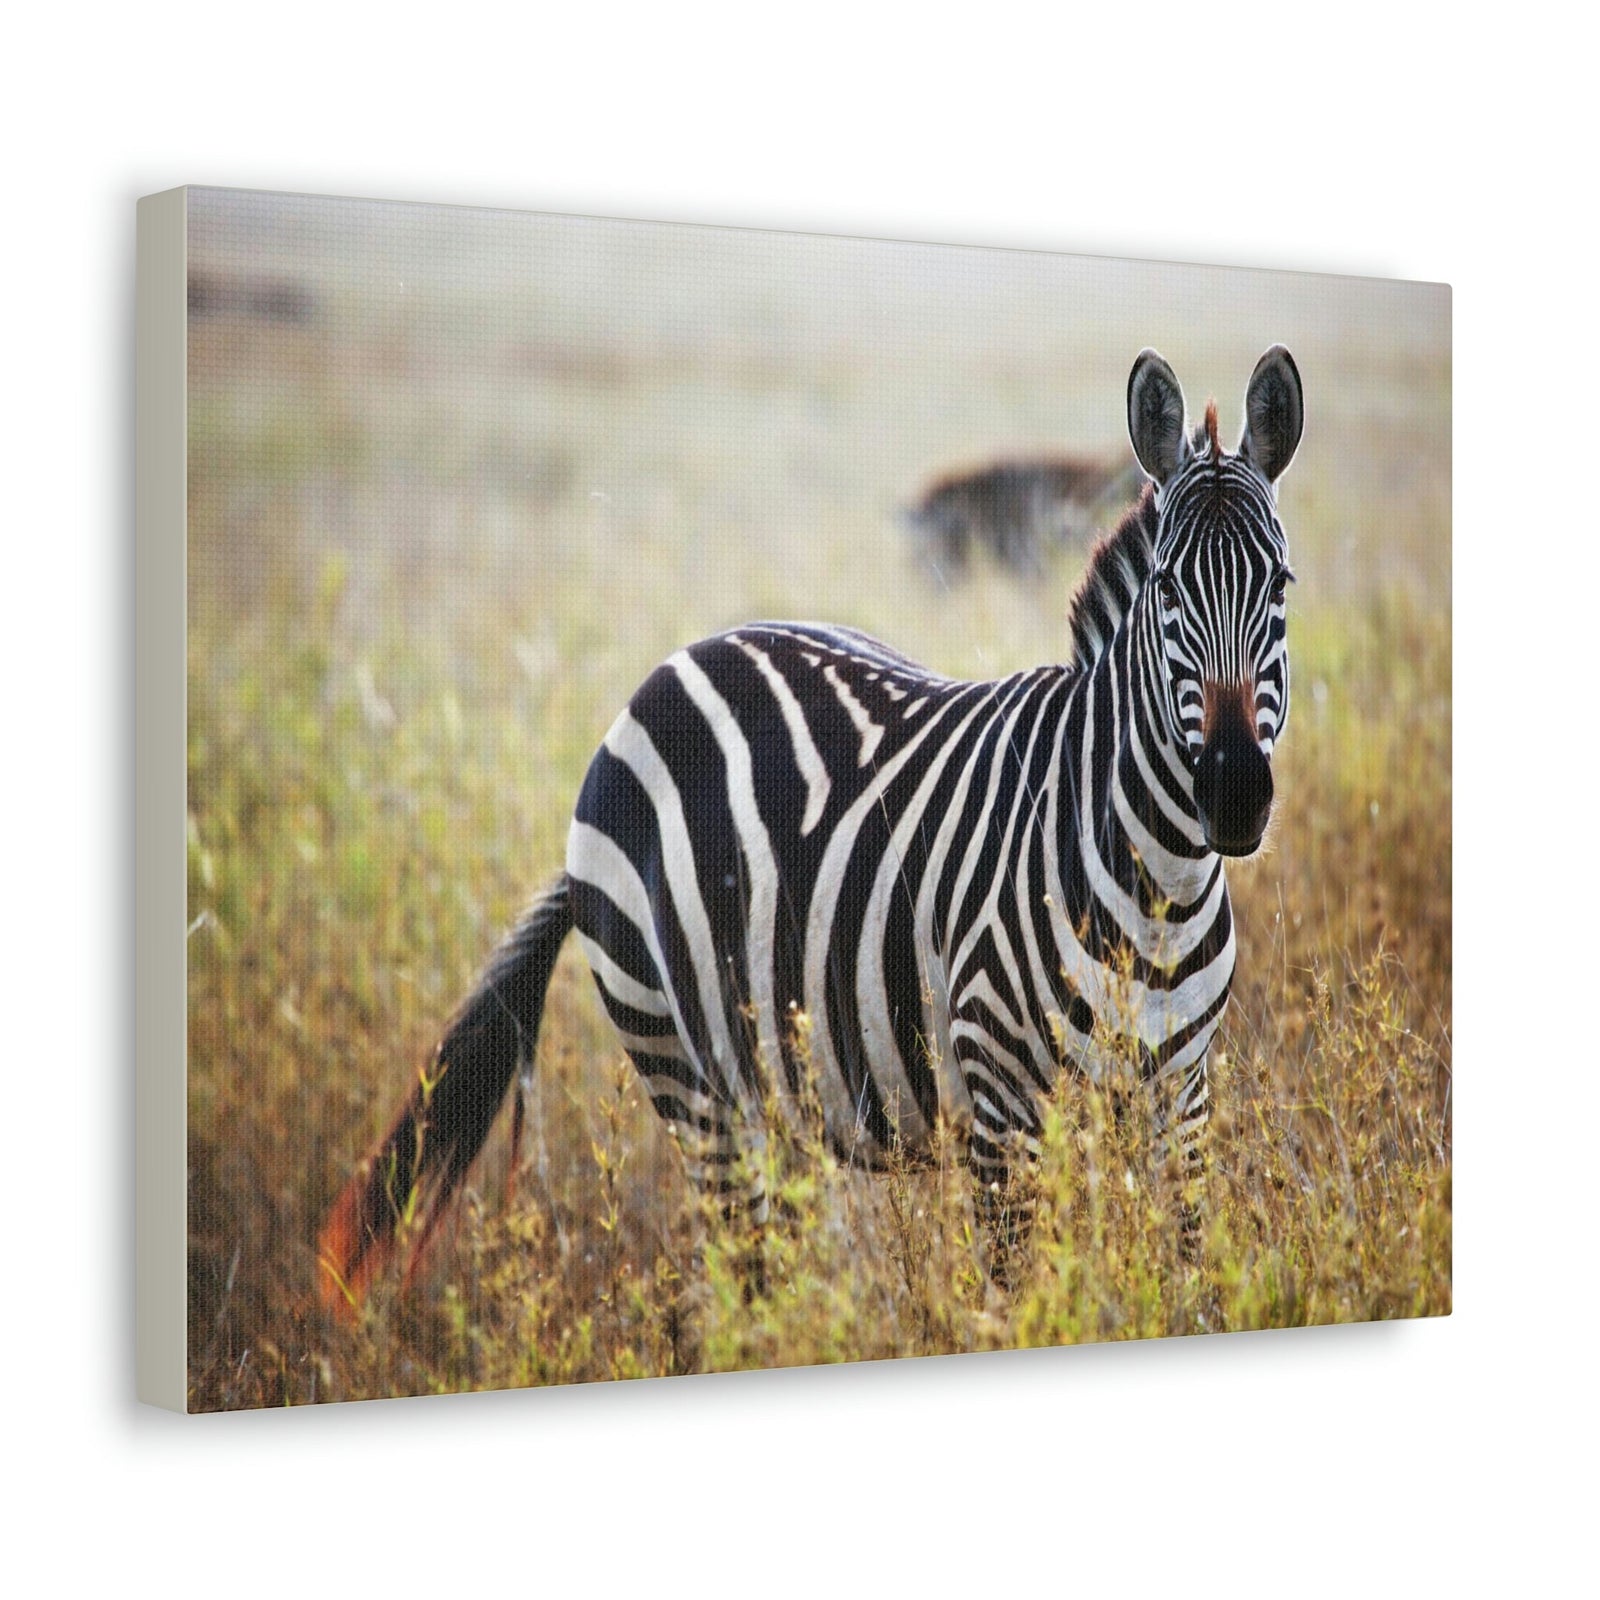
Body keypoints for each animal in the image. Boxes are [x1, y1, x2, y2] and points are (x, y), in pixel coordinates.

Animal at [319, 345, 1304, 1309]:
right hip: (686, 1071)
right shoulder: (1000, 1099)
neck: (1159, 883)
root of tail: (668, 670)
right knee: (740, 1283)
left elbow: (1185, 1276)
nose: (1231, 793)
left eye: (1283, 584)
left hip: (779, 1082)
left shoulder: (1183, 1095)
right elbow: (1019, 1296)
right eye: (1169, 588)